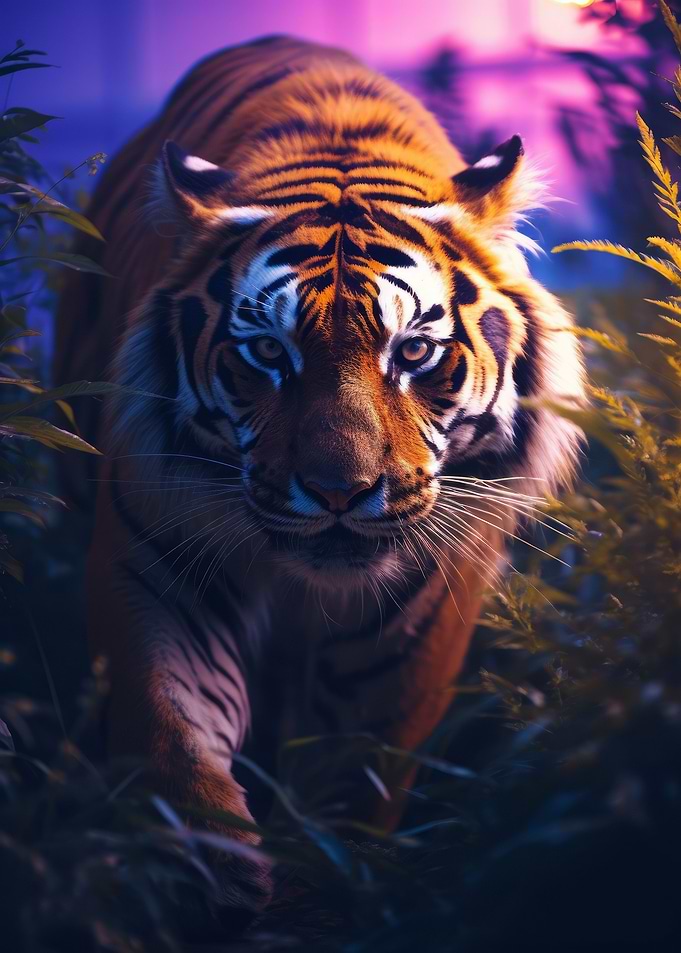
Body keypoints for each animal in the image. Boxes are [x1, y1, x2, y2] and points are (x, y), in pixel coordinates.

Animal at [54, 35, 585, 932]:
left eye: (413, 352)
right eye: (268, 353)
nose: (340, 491)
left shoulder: (421, 610)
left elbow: (353, 777)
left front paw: (324, 887)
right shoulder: (156, 563)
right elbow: (170, 723)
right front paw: (213, 874)